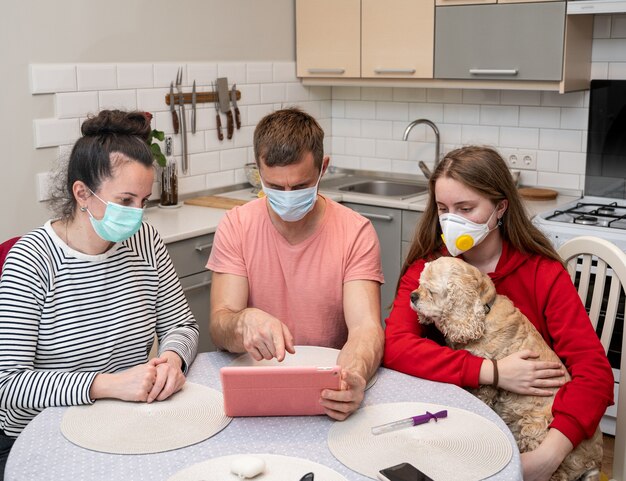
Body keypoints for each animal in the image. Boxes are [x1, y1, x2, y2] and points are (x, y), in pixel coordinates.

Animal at [410, 256, 600, 478]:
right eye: (419, 283)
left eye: (431, 291)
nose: (412, 296)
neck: (484, 310)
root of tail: (594, 461)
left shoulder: (484, 387)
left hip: (536, 430)